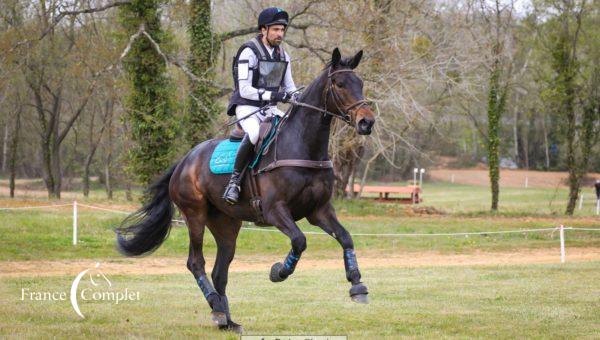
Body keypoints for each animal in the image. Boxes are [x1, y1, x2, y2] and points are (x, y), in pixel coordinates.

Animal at [116, 47, 376, 332]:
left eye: (360, 83)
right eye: (339, 84)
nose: (367, 122)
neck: (302, 146)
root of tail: (184, 161)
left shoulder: (318, 211)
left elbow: (346, 238)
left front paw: (358, 285)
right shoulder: (275, 211)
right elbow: (299, 241)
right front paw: (278, 272)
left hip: (226, 224)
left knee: (220, 271)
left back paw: (226, 320)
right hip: (194, 215)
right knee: (196, 262)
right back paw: (216, 307)